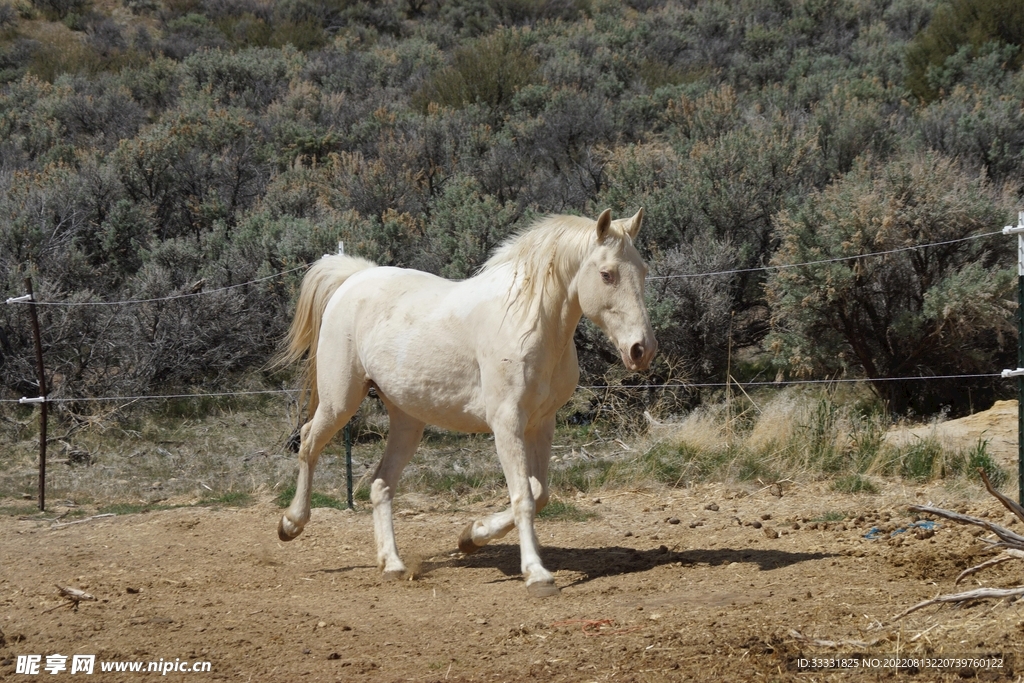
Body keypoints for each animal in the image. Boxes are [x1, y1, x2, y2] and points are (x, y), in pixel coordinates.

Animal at [276, 208, 656, 597]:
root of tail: (355, 276)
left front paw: (472, 536)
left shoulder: (541, 423)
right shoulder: (506, 423)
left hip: (407, 420)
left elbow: (539, 493)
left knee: (381, 484)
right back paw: (290, 524)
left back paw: (392, 564)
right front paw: (537, 574)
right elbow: (524, 498)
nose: (641, 350)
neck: (529, 322)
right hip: (340, 400)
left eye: (642, 270)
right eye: (606, 274)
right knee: (308, 442)